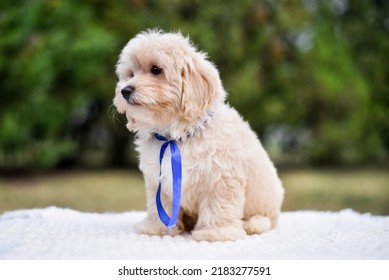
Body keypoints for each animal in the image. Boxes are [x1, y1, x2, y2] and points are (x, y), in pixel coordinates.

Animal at [113, 30, 284, 241]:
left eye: (156, 70)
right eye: (130, 74)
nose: (125, 90)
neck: (176, 137)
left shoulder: (221, 178)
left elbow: (218, 206)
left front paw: (215, 233)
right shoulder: (158, 180)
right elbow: (158, 206)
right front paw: (157, 228)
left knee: (266, 219)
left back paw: (253, 224)